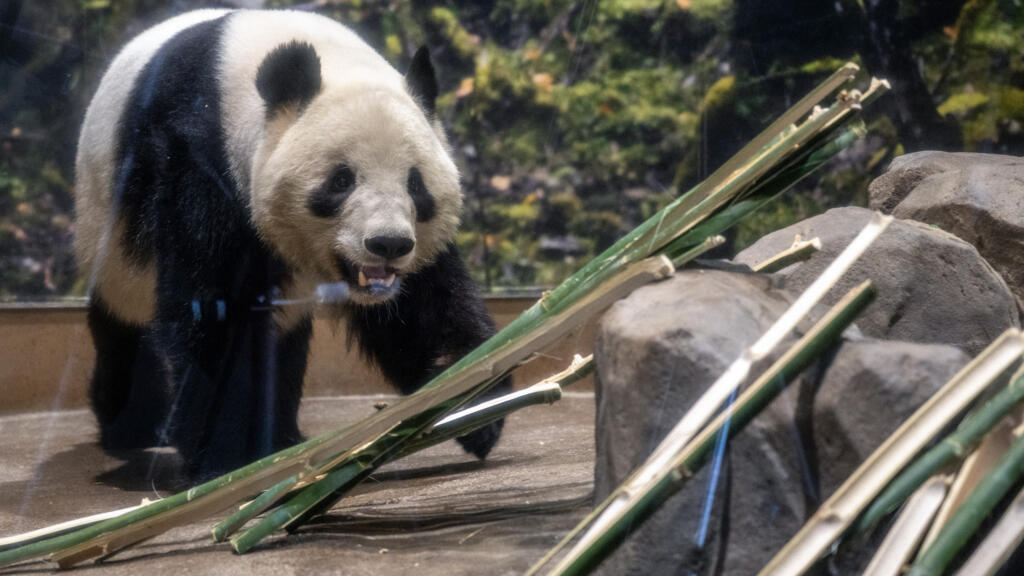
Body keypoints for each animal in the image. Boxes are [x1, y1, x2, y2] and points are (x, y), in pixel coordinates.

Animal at [74, 9, 510, 481]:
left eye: (415, 184)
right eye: (341, 180)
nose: (387, 244)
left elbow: (425, 307)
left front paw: (474, 403)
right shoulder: (196, 156)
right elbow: (212, 310)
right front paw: (222, 458)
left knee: (283, 337)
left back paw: (281, 434)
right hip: (109, 224)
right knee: (125, 319)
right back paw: (131, 425)